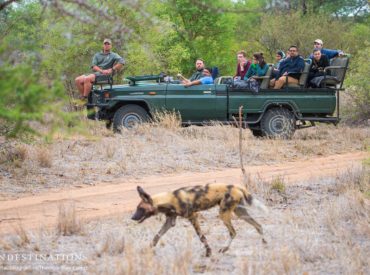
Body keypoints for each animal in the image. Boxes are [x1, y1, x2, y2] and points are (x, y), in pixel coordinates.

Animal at [132, 184, 268, 258]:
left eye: (140, 209)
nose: (132, 217)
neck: (169, 200)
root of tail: (236, 186)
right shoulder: (170, 222)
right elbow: (156, 236)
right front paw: (147, 250)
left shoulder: (193, 217)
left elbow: (202, 237)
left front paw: (208, 252)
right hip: (240, 214)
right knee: (258, 225)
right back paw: (264, 243)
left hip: (223, 214)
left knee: (233, 232)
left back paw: (224, 249)